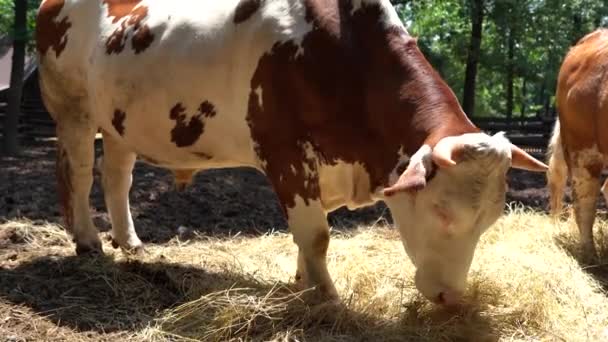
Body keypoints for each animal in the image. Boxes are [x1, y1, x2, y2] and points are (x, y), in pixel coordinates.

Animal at [35, 0, 548, 304]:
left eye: (491, 219)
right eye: (442, 212)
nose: (451, 299)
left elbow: (309, 234)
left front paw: (303, 285)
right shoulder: (284, 152)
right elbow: (317, 235)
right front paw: (328, 300)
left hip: (119, 121)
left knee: (117, 176)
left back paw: (130, 242)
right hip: (73, 109)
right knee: (78, 172)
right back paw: (88, 241)